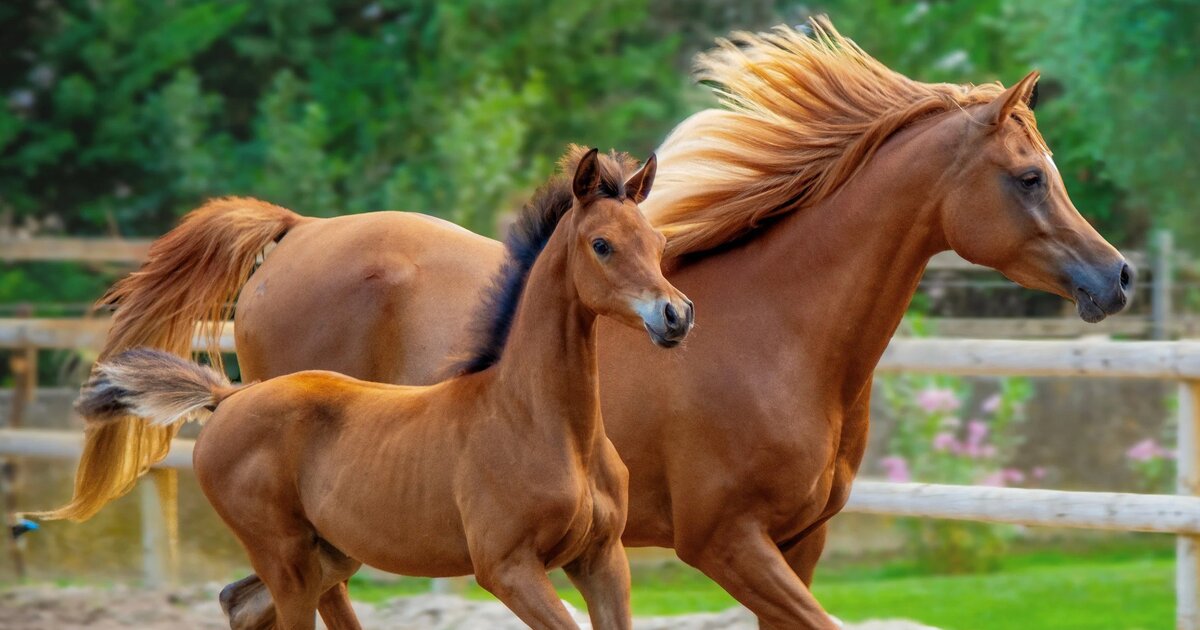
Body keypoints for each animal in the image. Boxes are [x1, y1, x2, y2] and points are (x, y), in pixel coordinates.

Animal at [69, 147, 690, 630]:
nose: (676, 315)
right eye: (602, 244)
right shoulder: (507, 567)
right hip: (289, 561)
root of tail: (230, 398)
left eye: (657, 241)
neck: (542, 421)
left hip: (331, 553)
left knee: (241, 602)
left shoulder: (602, 559)